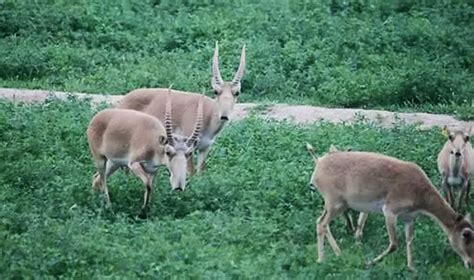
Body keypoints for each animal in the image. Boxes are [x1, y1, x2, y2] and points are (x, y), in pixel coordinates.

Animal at [117, 41, 246, 173]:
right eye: (216, 91)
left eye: (237, 92)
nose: (224, 116)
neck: (208, 115)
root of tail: (123, 100)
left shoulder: (205, 148)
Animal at [306, 144, 474, 270]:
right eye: (465, 236)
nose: (470, 264)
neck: (420, 198)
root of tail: (317, 166)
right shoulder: (390, 210)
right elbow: (394, 244)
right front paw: (368, 262)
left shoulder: (409, 217)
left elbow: (409, 240)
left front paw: (411, 268)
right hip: (334, 201)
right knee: (321, 222)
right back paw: (322, 259)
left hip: (335, 203)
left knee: (322, 222)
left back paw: (337, 253)